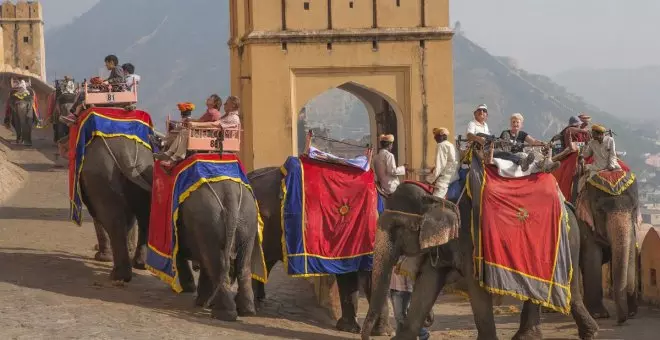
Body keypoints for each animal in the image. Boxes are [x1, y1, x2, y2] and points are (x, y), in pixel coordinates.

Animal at [360, 182, 600, 340]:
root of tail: (568, 204)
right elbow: (425, 288)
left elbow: (477, 290)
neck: (438, 199)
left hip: (566, 241)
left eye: (398, 228)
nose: (368, 336)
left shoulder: (472, 243)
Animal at [576, 174, 640, 322]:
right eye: (600, 211)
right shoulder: (583, 222)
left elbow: (631, 253)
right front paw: (599, 315)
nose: (621, 319)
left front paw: (633, 313)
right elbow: (592, 257)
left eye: (634, 208)